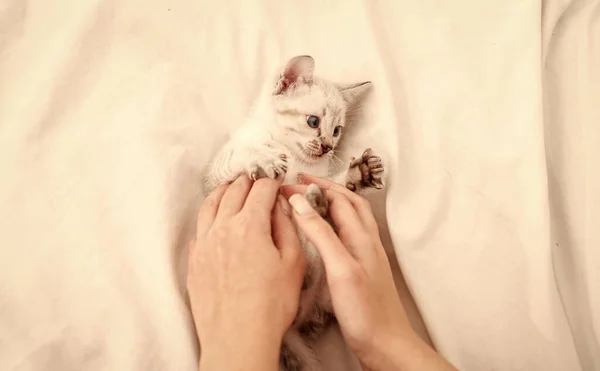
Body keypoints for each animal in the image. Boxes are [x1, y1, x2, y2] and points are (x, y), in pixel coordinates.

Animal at [204, 55, 384, 371]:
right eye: (313, 122)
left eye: (336, 130)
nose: (327, 147)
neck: (292, 152)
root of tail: (292, 327)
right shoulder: (217, 176)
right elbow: (242, 155)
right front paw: (264, 157)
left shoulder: (316, 177)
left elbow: (333, 184)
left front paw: (357, 174)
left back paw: (334, 193)